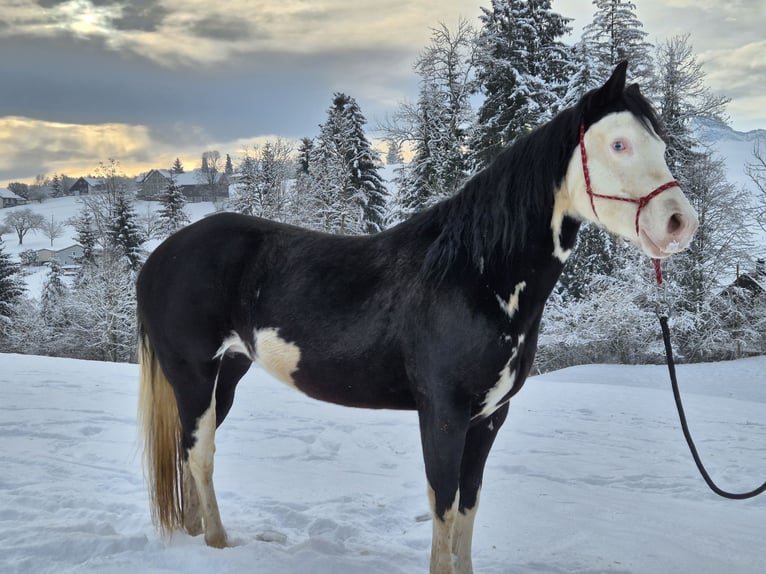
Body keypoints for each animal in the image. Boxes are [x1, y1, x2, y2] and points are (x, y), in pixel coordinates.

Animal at [136, 61, 698, 574]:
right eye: (619, 144)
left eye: (661, 145)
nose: (679, 223)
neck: (475, 275)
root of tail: (160, 257)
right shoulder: (443, 414)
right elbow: (443, 506)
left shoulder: (489, 417)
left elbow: (468, 506)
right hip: (195, 376)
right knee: (200, 454)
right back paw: (216, 544)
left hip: (227, 374)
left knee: (188, 453)